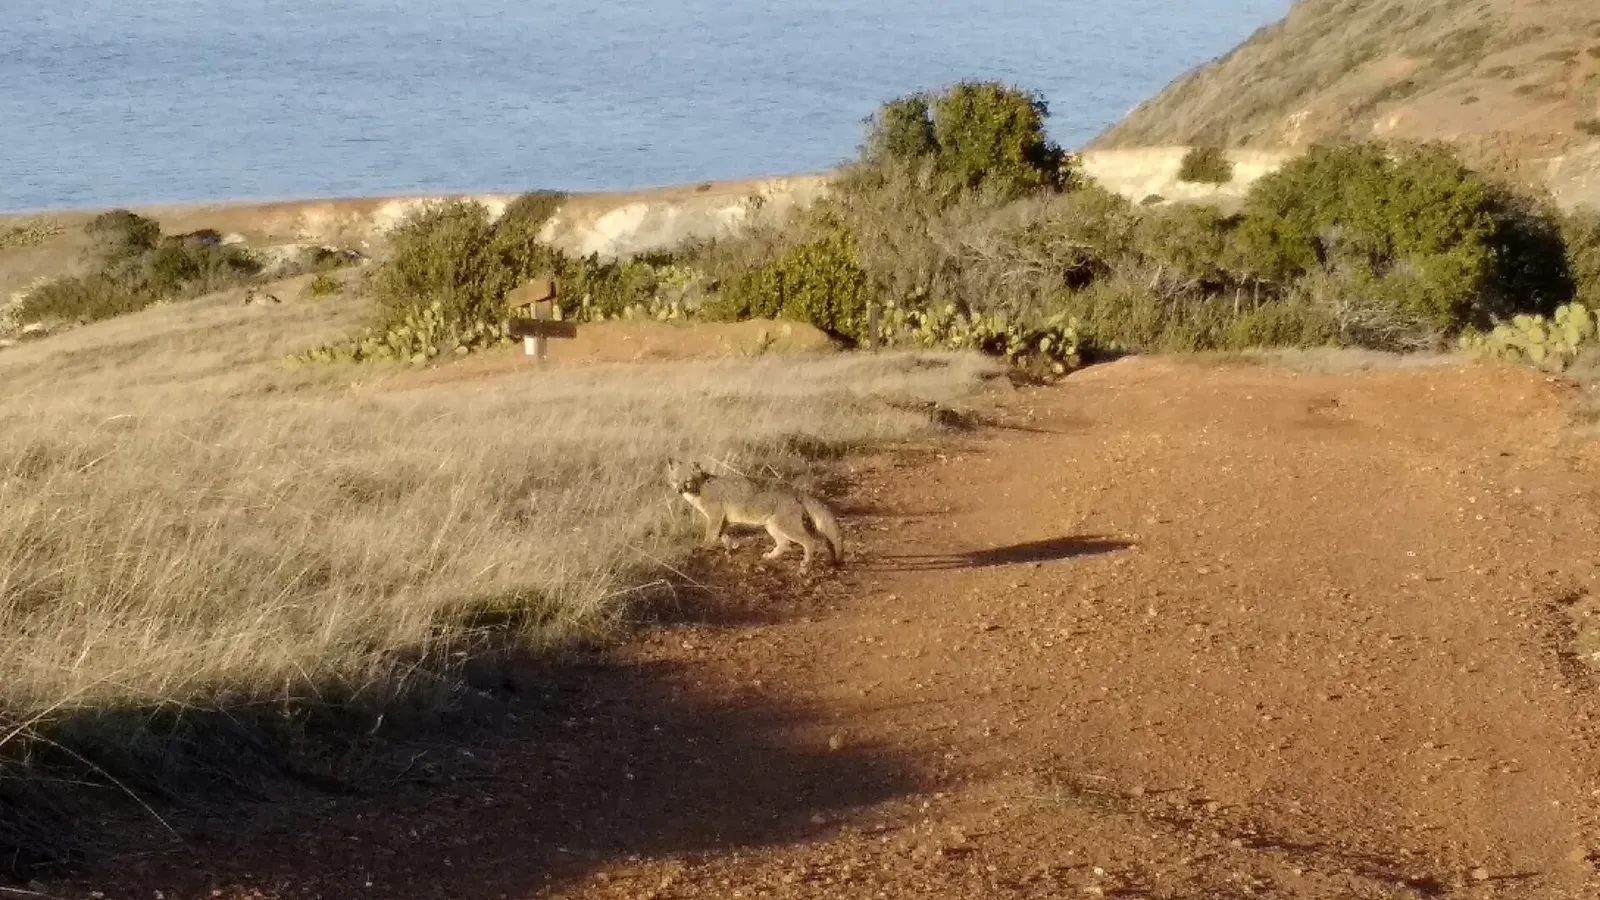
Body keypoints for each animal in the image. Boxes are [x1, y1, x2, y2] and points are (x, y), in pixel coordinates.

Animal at [665, 458, 844, 569]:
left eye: (687, 481)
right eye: (675, 480)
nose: (679, 490)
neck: (701, 488)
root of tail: (796, 491)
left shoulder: (715, 517)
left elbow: (710, 536)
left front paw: (703, 548)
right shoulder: (723, 520)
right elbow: (724, 537)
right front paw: (730, 548)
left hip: (787, 528)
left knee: (810, 542)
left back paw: (805, 566)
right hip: (772, 527)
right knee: (785, 544)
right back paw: (770, 557)